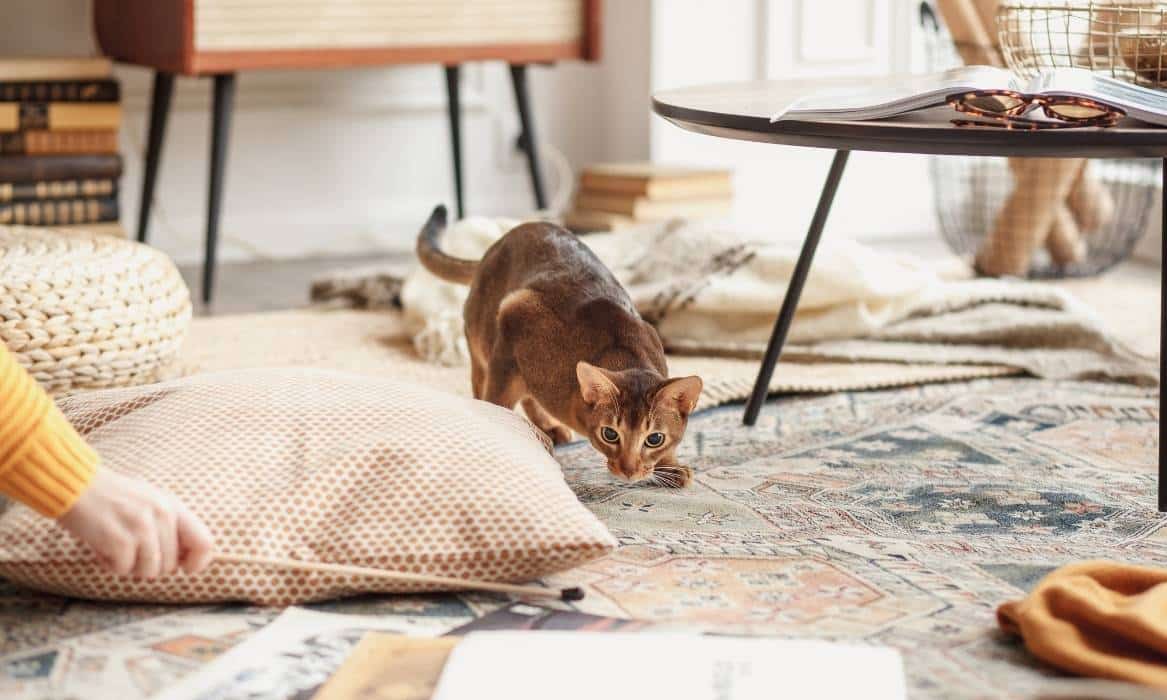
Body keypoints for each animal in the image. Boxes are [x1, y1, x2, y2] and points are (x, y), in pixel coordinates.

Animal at [420, 204, 700, 487]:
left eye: (654, 439)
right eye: (610, 434)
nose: (629, 471)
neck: (623, 350)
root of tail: (496, 244)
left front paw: (670, 466)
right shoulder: (516, 310)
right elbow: (498, 401)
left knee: (526, 394)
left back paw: (548, 427)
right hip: (486, 339)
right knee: (483, 381)